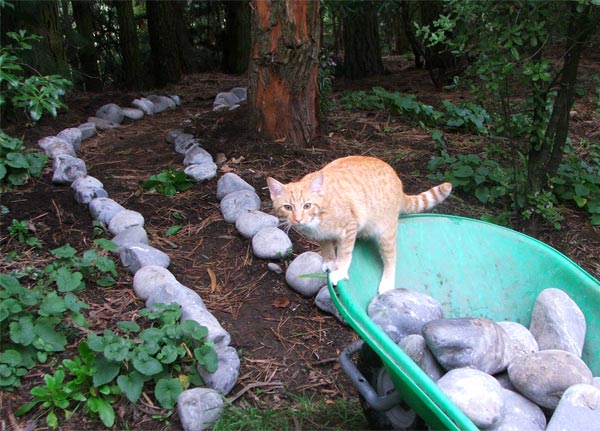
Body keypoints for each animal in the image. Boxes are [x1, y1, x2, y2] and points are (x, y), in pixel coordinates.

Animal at [268, 155, 450, 294]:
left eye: (307, 205)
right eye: (288, 207)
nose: (298, 220)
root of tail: (397, 179)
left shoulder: (349, 227)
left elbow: (345, 253)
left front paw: (339, 270)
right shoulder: (322, 236)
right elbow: (327, 247)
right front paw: (329, 261)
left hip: (385, 233)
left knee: (391, 258)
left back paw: (387, 283)